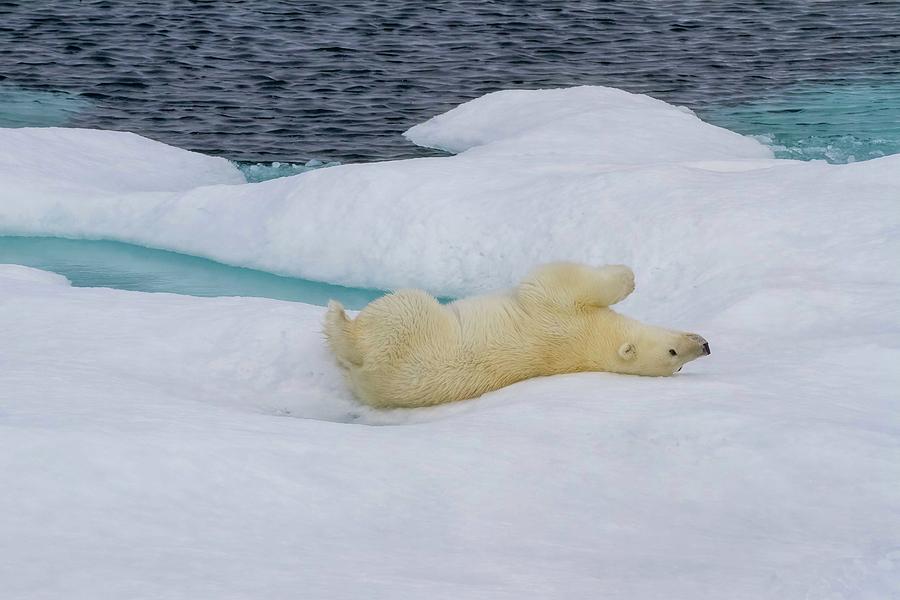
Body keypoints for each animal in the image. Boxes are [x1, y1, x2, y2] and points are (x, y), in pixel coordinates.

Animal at [324, 262, 712, 408]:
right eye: (675, 357)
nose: (706, 346)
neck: (591, 344)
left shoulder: (560, 314)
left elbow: (553, 279)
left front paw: (625, 276)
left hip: (408, 327)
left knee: (398, 306)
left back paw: (338, 317)